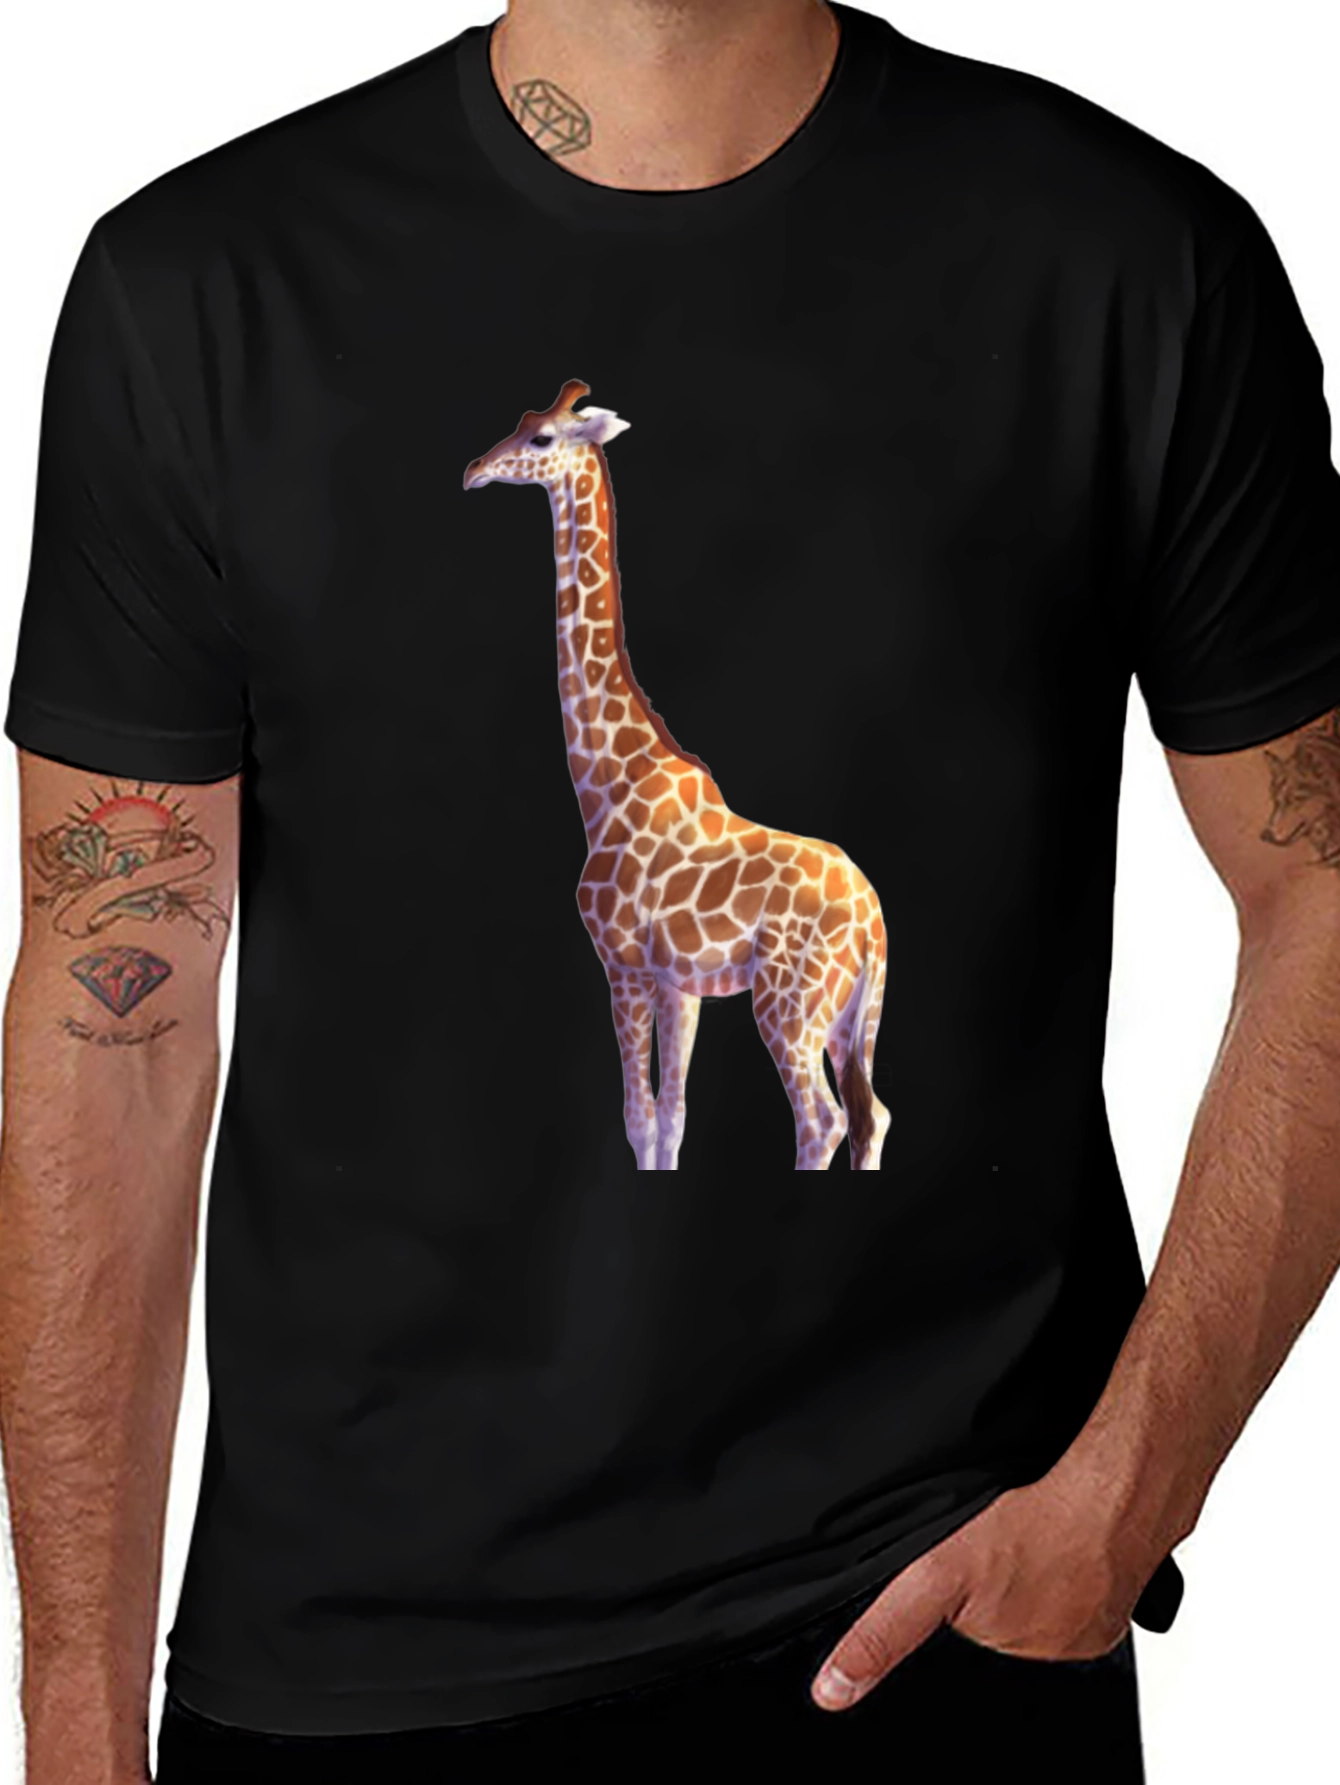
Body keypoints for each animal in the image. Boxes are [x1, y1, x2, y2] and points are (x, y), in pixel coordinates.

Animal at [465, 381, 890, 1171]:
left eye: (542, 439)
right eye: (520, 424)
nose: (476, 470)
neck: (607, 783)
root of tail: (875, 918)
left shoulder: (625, 963)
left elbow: (638, 1117)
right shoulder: (680, 983)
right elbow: (671, 1118)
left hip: (790, 999)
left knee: (823, 1117)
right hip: (854, 1009)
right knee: (870, 1113)